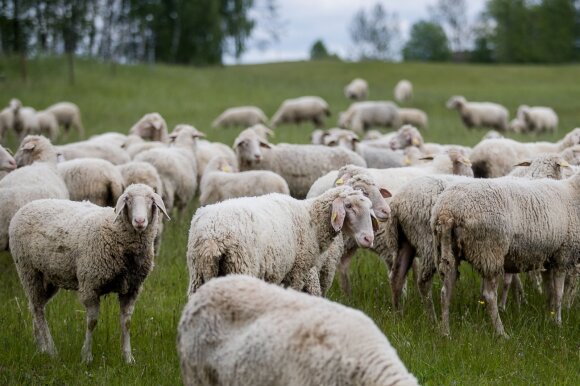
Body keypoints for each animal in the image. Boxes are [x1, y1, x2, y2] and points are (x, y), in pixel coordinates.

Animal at [9, 183, 168, 362]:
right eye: (127, 199)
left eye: (151, 200)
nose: (139, 221)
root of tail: (26, 206)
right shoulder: (90, 285)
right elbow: (92, 322)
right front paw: (86, 356)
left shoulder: (132, 289)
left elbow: (126, 323)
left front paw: (128, 358)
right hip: (28, 270)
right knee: (37, 309)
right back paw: (51, 350)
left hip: (48, 277)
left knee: (35, 307)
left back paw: (40, 347)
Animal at [186, 185, 376, 296]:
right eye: (349, 206)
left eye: (369, 208)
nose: (369, 238)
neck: (311, 219)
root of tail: (212, 237)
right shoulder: (297, 272)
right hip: (240, 266)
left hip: (198, 273)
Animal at [430, 170, 580, 336]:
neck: (574, 190)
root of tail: (447, 210)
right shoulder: (563, 255)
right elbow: (559, 294)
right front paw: (558, 324)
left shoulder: (548, 257)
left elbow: (550, 293)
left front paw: (549, 318)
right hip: (489, 250)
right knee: (489, 295)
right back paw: (501, 332)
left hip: (448, 249)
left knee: (445, 291)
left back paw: (445, 332)